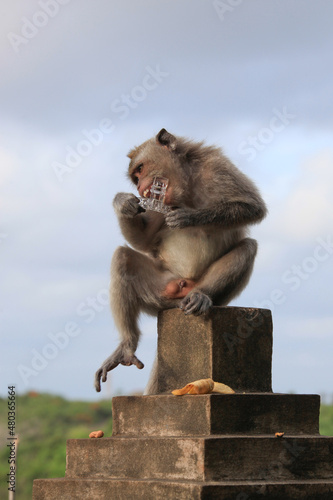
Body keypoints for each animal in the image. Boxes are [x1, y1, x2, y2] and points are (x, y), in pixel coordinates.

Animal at [94, 127, 268, 392]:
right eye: (135, 178)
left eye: (141, 169)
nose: (142, 189)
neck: (186, 187)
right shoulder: (157, 206)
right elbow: (144, 241)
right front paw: (123, 203)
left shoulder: (217, 167)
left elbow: (253, 207)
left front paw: (189, 217)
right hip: (160, 289)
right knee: (122, 257)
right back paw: (127, 346)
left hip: (204, 292)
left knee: (247, 247)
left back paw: (201, 295)